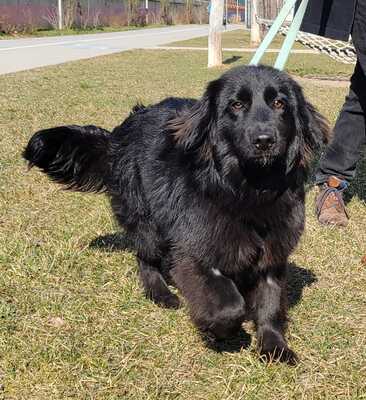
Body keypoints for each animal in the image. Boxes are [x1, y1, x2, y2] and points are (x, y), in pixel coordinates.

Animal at [22, 65, 328, 362]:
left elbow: (270, 304)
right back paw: (160, 293)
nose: (264, 140)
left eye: (279, 103)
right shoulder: (195, 251)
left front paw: (274, 347)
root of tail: (117, 135)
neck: (246, 190)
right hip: (147, 222)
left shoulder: (272, 254)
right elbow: (229, 305)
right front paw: (218, 330)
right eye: (236, 105)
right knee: (145, 258)